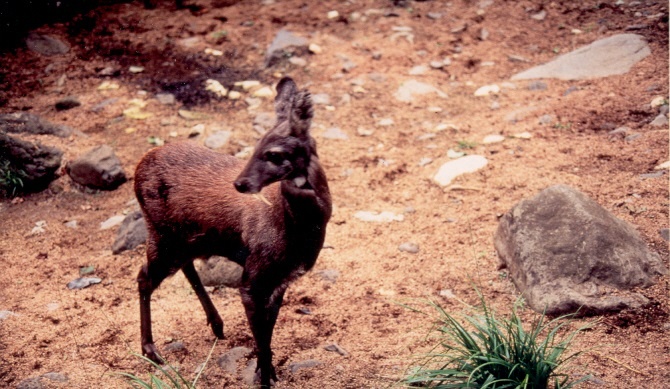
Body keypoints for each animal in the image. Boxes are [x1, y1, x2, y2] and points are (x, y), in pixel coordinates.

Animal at [136, 76, 334, 384]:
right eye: (255, 145)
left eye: (274, 153)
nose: (240, 183)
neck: (292, 228)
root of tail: (138, 167)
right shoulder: (253, 276)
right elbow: (262, 339)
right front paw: (263, 377)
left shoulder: (281, 279)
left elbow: (268, 332)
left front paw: (269, 372)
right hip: (161, 233)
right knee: (144, 277)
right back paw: (151, 350)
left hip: (186, 239)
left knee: (185, 267)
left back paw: (217, 325)